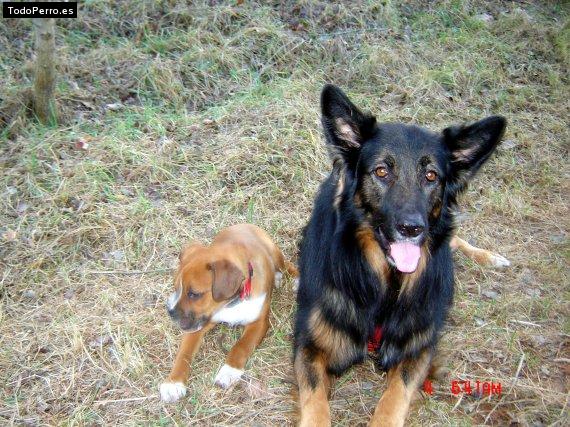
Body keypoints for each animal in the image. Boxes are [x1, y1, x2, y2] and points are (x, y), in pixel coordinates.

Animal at [158, 224, 296, 404]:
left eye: (194, 294)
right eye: (176, 288)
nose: (170, 311)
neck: (231, 303)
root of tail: (245, 225)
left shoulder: (258, 323)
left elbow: (241, 346)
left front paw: (229, 371)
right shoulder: (198, 325)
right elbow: (184, 353)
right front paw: (173, 382)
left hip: (274, 251)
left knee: (288, 265)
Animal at [292, 84, 506, 424]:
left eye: (431, 176)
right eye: (381, 171)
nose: (411, 228)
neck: (386, 284)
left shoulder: (418, 348)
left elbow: (395, 397)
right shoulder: (310, 344)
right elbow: (315, 403)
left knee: (454, 239)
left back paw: (490, 257)